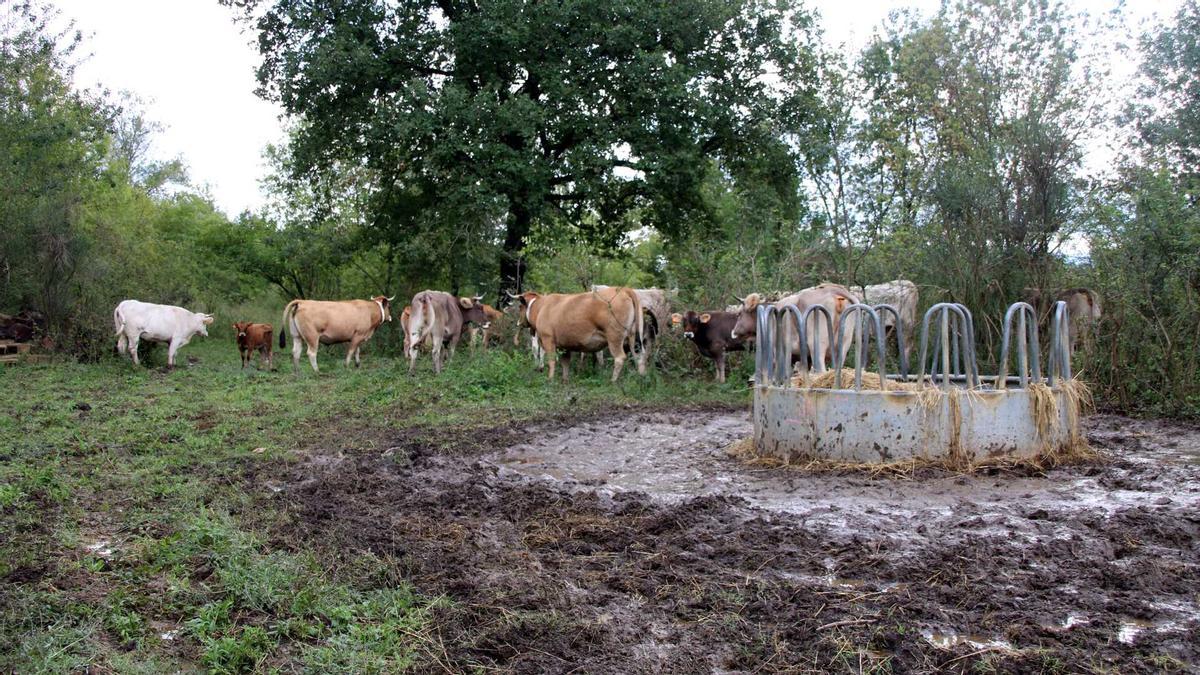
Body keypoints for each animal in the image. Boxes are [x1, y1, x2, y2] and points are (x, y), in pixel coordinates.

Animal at [511, 284, 643, 384]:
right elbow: (565, 362)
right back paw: (641, 378)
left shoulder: (548, 339)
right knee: (638, 357)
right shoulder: (564, 345)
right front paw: (565, 380)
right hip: (633, 337)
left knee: (620, 357)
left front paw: (550, 379)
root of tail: (623, 289)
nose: (518, 323)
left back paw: (613, 381)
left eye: (520, 306)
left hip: (614, 337)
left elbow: (552, 360)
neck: (542, 307)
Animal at [724, 281, 859, 369]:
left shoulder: (778, 349)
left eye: (739, 314)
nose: (733, 332)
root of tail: (833, 290)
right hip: (844, 345)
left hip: (818, 345)